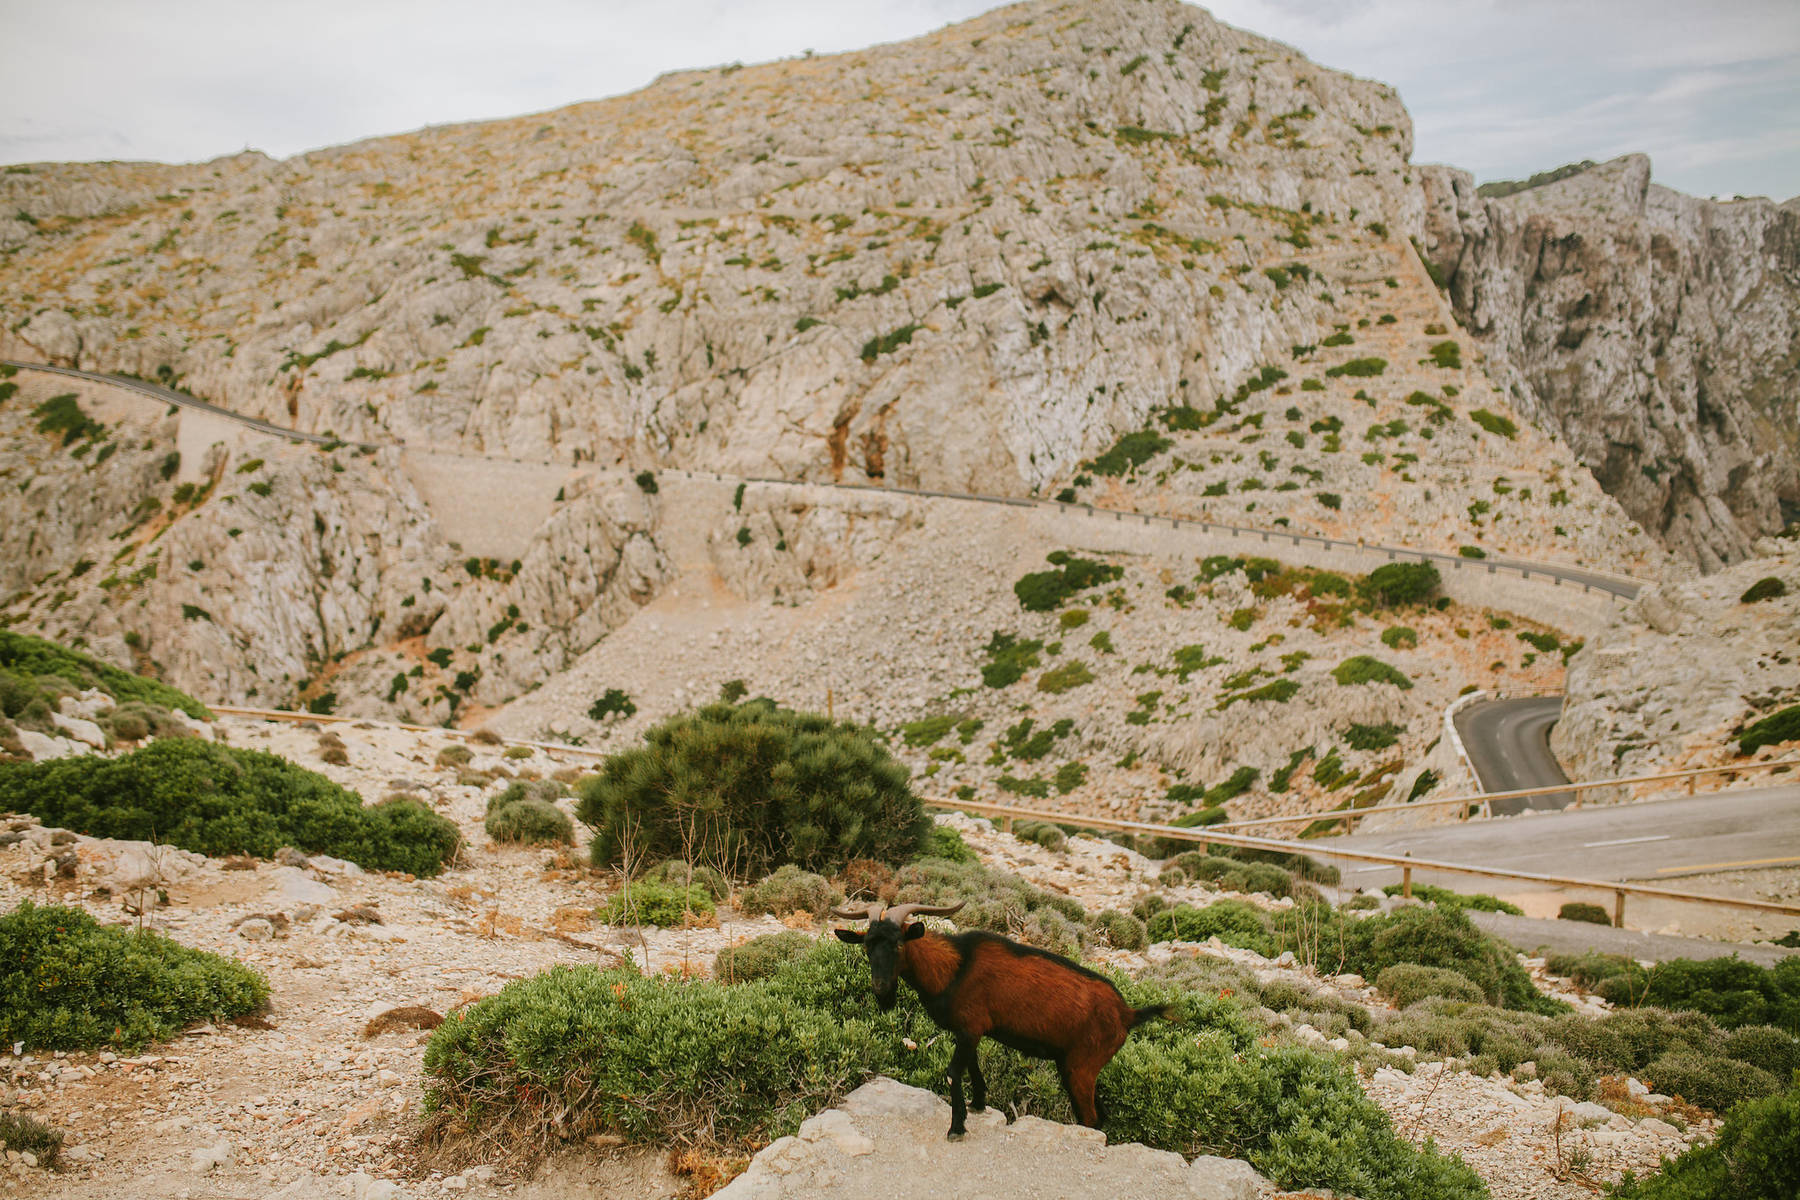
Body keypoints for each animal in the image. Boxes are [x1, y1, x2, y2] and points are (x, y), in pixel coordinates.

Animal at [835, 899, 1173, 1144]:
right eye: (867, 947)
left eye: (898, 944)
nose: (881, 989)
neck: (954, 967)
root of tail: (1128, 1014)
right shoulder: (970, 1031)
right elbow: (972, 1068)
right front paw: (976, 1107)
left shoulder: (971, 1028)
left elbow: (953, 1073)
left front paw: (956, 1128)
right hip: (1079, 1066)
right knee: (1100, 1116)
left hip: (1081, 1067)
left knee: (1090, 1118)